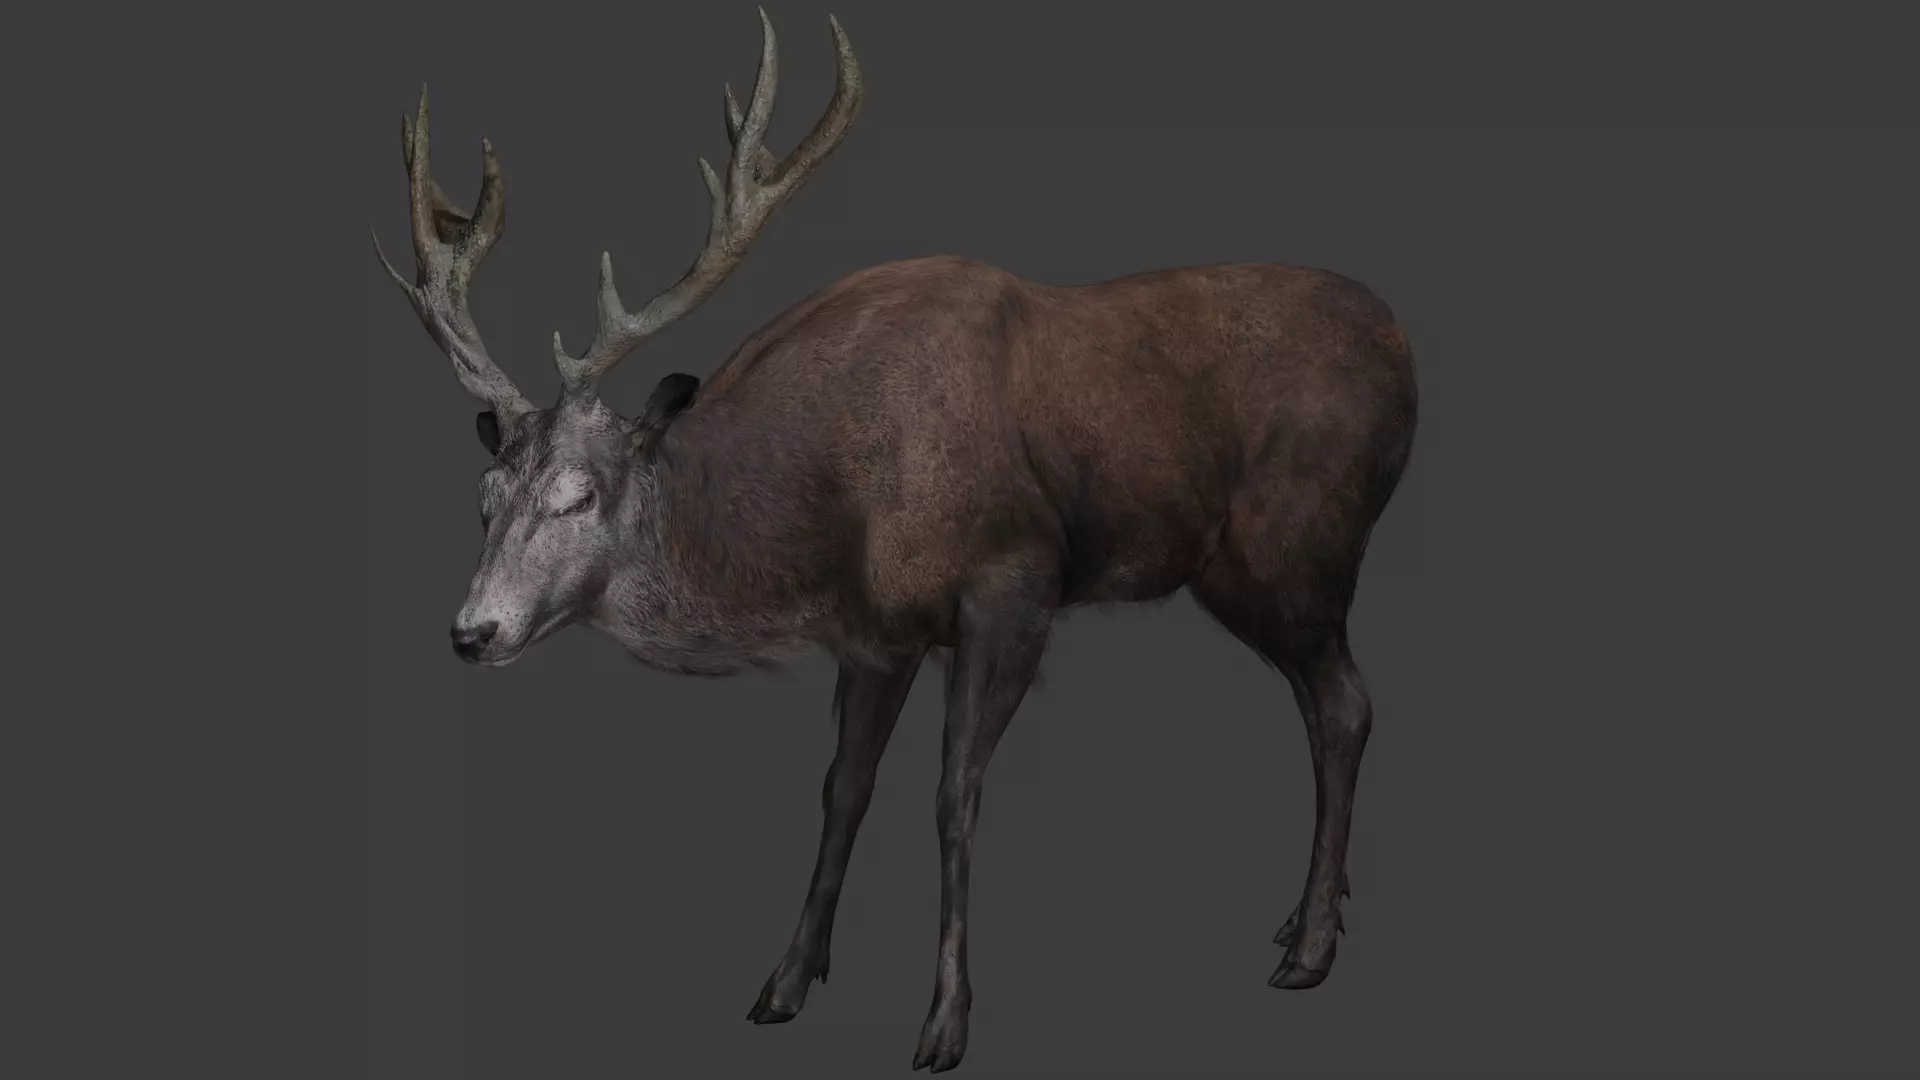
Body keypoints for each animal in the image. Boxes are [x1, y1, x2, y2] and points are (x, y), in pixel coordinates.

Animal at [372, 11, 1417, 1074]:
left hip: (1296, 545)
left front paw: (945, 1022)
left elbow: (954, 795)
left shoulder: (1012, 584)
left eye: (578, 497)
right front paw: (785, 984)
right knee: (1319, 701)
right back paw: (1304, 920)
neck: (832, 517)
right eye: (483, 497)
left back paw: (1311, 950)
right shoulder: (875, 632)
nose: (473, 631)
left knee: (1347, 703)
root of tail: (1404, 342)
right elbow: (843, 788)